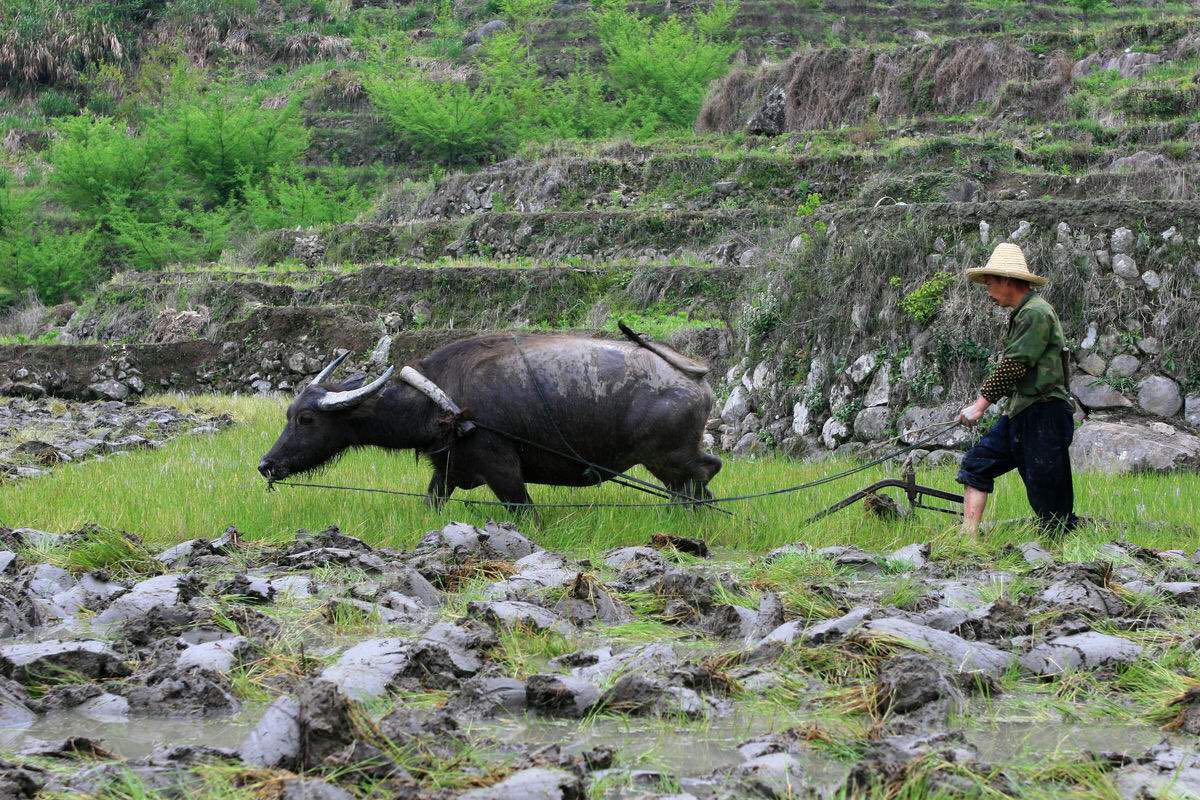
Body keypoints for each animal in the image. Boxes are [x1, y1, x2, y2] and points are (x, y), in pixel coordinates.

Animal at [261, 326, 720, 510]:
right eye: (290, 413)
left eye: (306, 419)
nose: (267, 464)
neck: (439, 402)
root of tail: (694, 376)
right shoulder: (446, 470)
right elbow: (433, 500)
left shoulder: (503, 470)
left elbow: (524, 510)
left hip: (669, 456)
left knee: (706, 474)